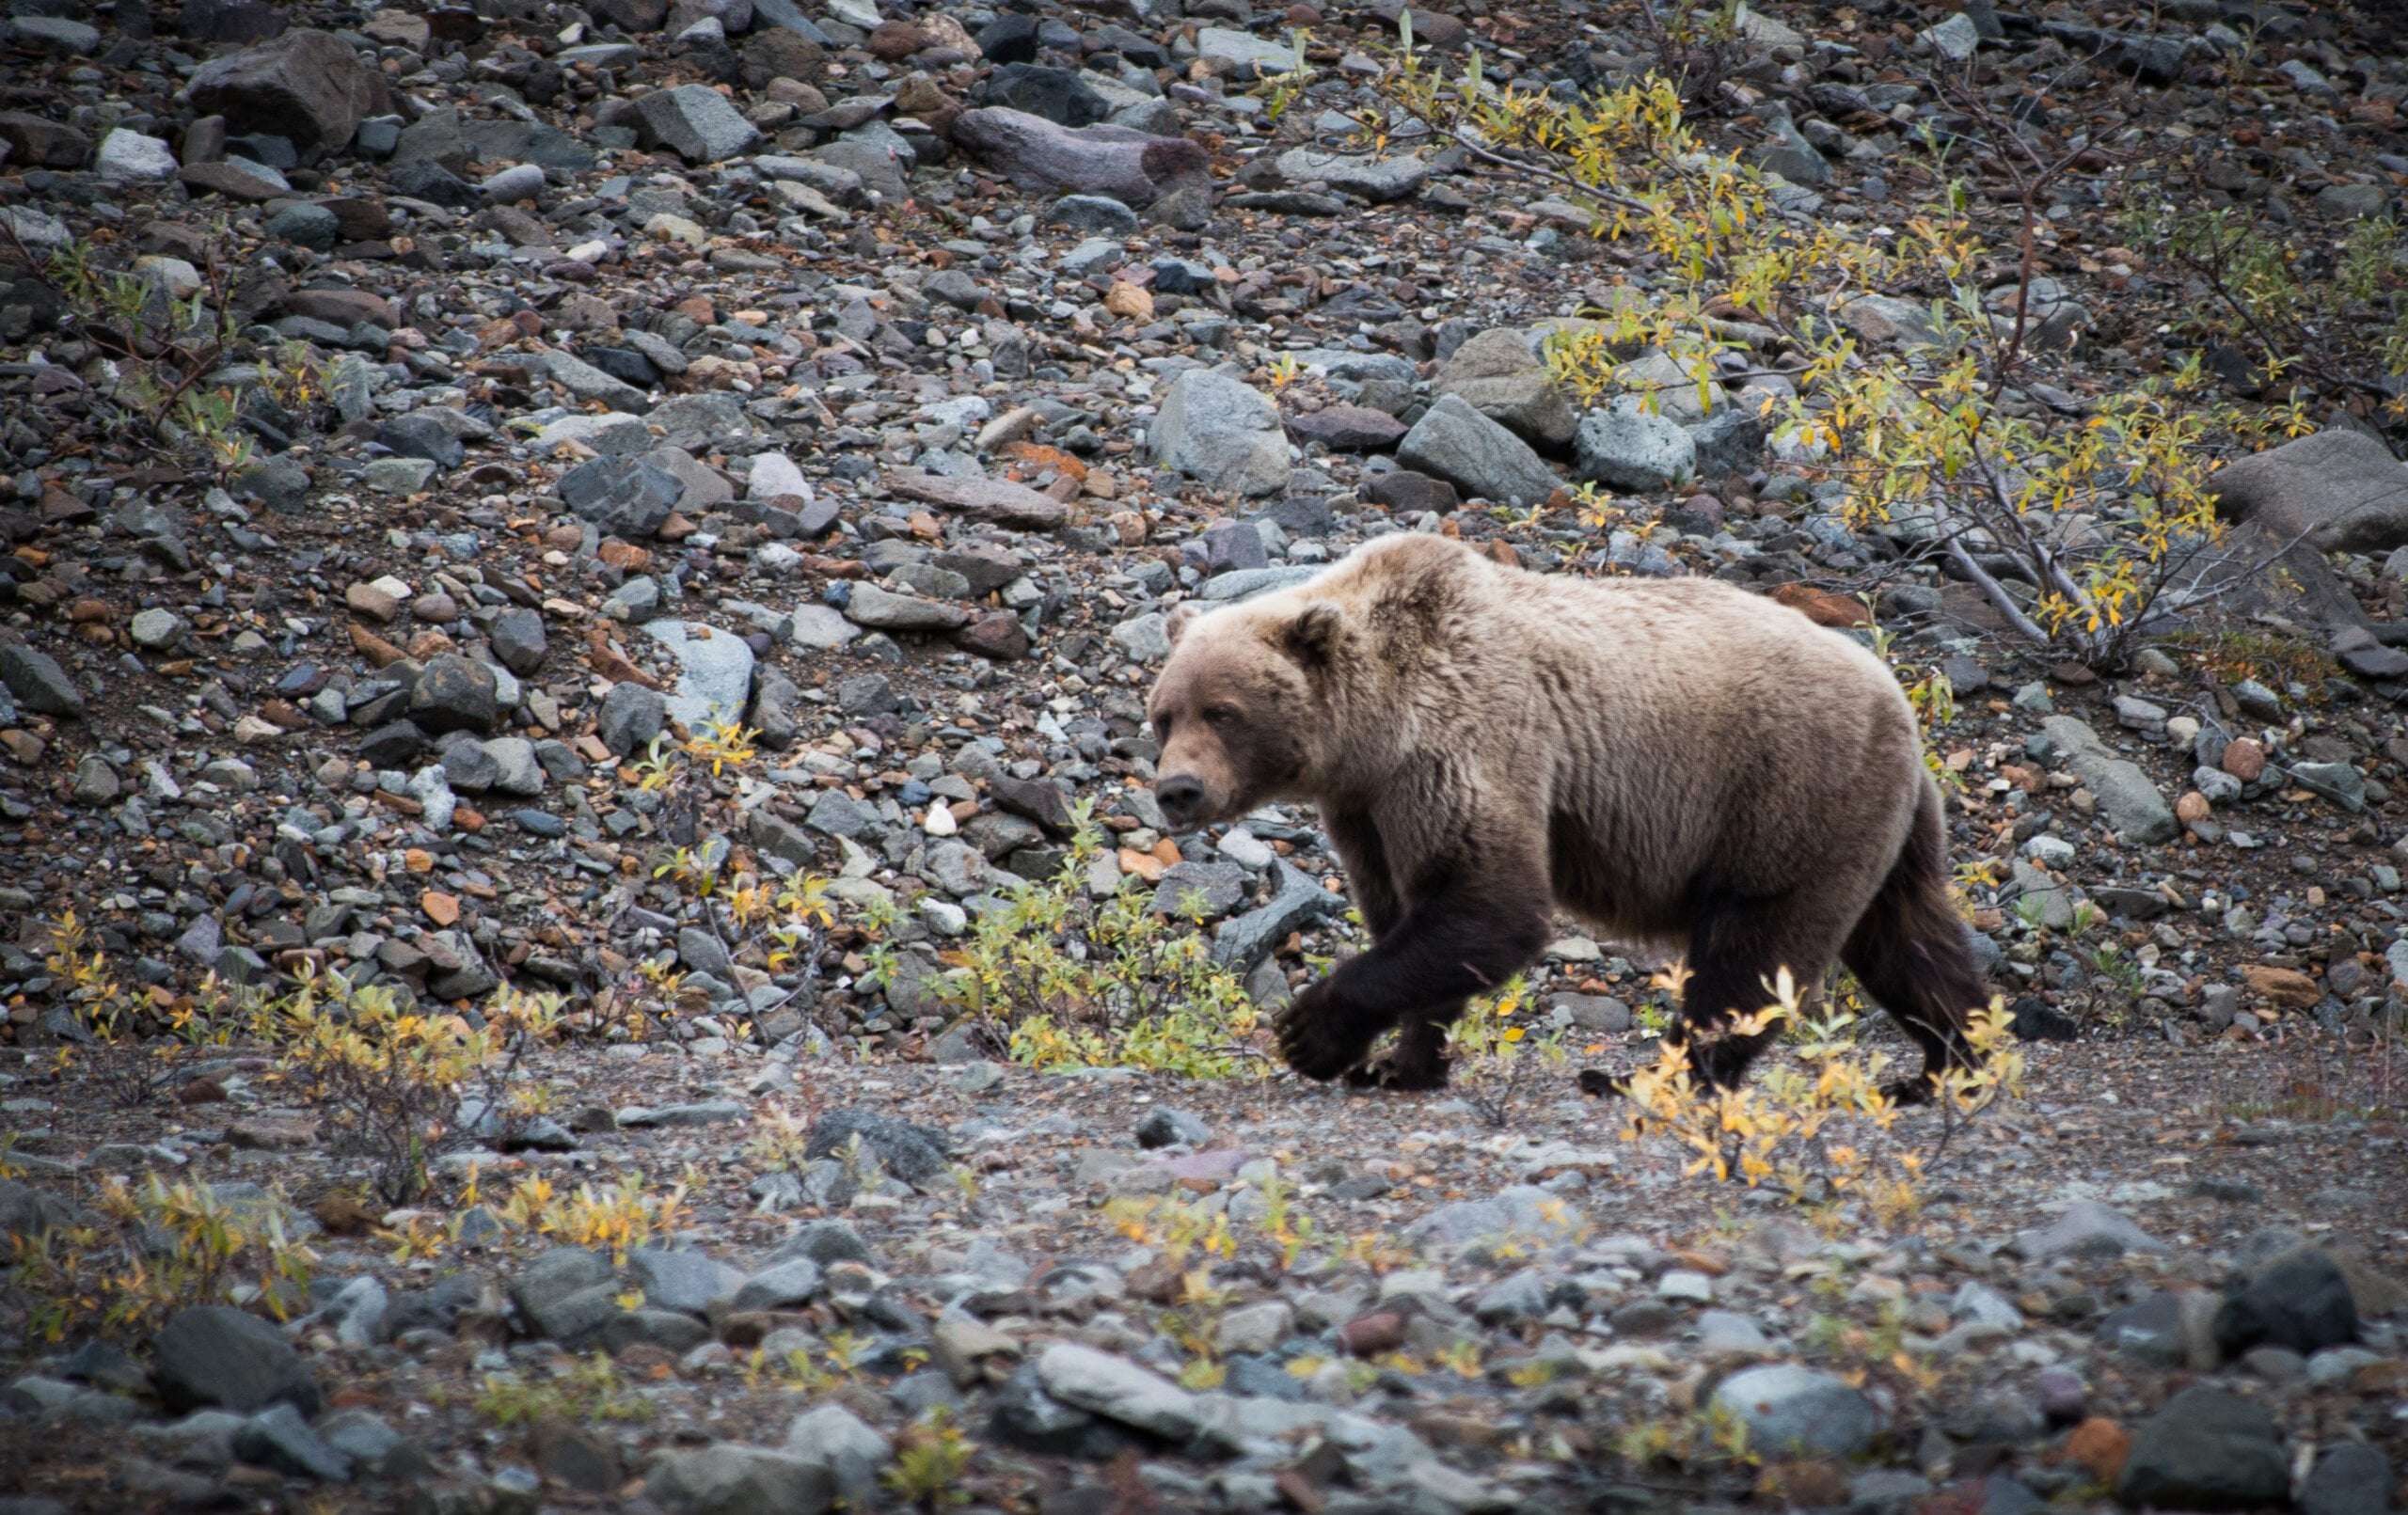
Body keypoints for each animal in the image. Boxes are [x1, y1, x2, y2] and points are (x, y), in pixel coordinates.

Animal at [1145, 531, 1986, 1103]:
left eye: (1223, 711)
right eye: (1164, 713)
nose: (1177, 789)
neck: (1372, 733)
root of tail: (1897, 693)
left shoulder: (1462, 744)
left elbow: (1491, 903)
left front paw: (1312, 1031)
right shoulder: (1369, 806)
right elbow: (1409, 912)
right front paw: (1402, 1062)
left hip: (1787, 794)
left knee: (1753, 949)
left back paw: (1656, 1076)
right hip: (1883, 819)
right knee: (1908, 936)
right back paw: (1953, 1060)